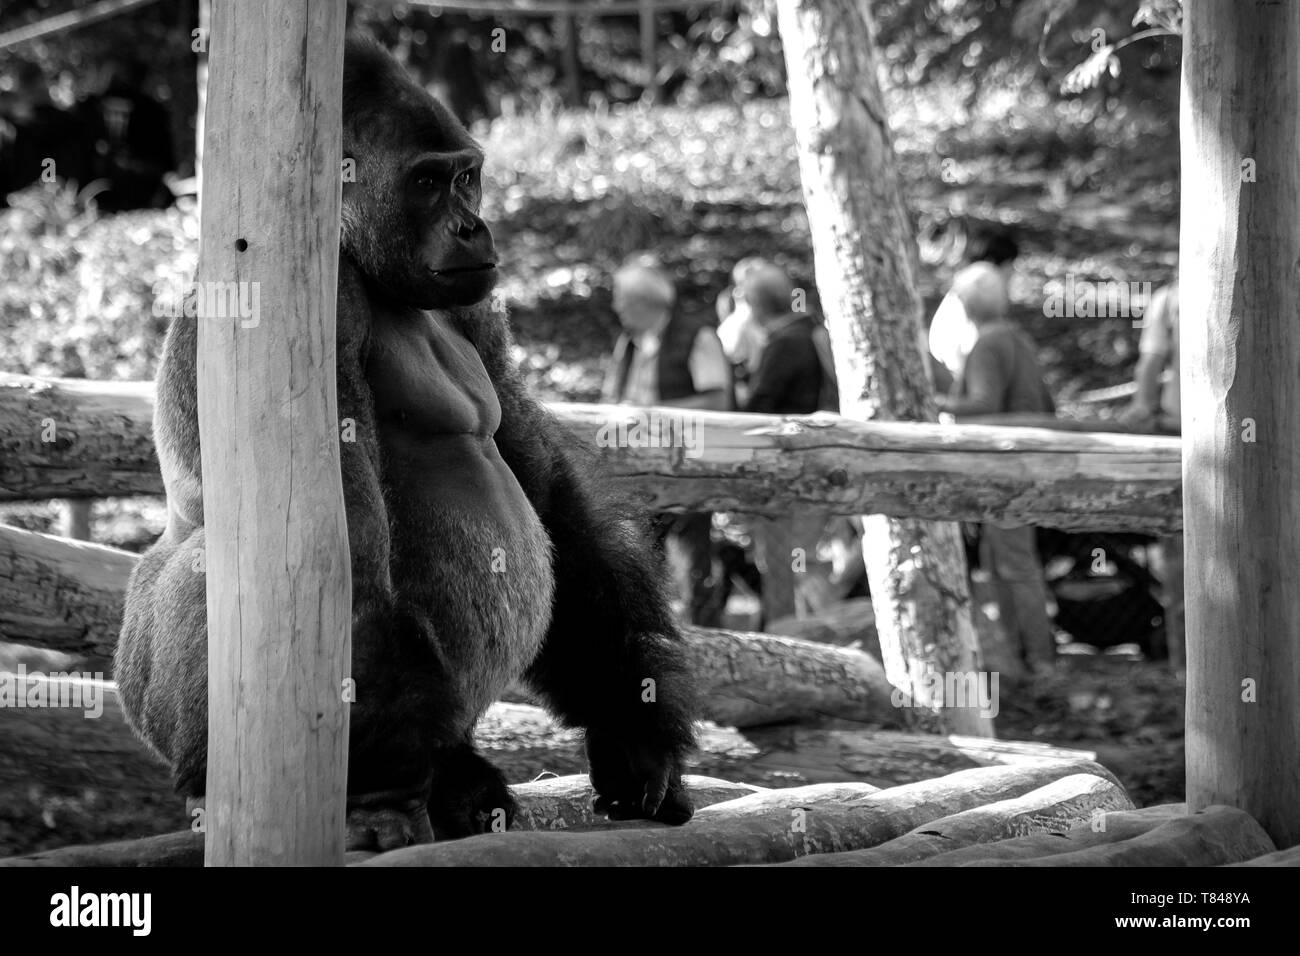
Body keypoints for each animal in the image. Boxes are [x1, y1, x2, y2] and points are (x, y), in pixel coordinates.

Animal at [116, 33, 696, 848]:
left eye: (466, 177)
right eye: (425, 182)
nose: (473, 228)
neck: (352, 250)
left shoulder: (477, 304)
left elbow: (552, 495)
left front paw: (634, 728)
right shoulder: (315, 305)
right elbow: (340, 554)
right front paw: (380, 799)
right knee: (217, 565)